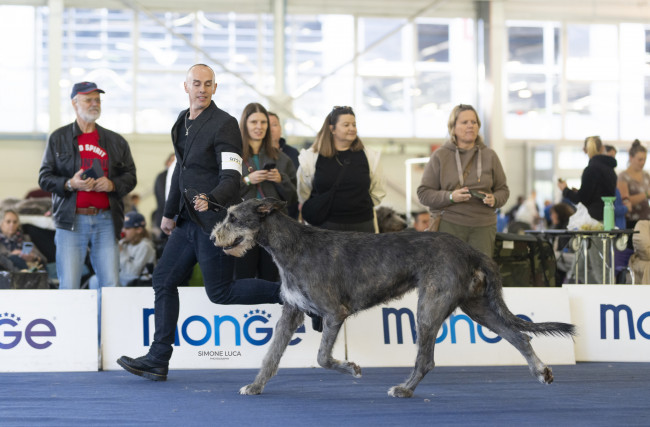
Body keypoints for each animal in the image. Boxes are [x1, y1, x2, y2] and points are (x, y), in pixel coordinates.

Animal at [210, 199, 576, 400]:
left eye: (233, 217)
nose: (213, 237)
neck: (292, 246)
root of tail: (471, 251)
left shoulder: (333, 313)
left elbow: (322, 358)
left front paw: (351, 367)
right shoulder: (292, 312)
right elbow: (271, 356)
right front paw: (254, 386)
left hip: (429, 307)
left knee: (426, 360)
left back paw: (405, 389)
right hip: (476, 306)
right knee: (518, 335)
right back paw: (541, 371)